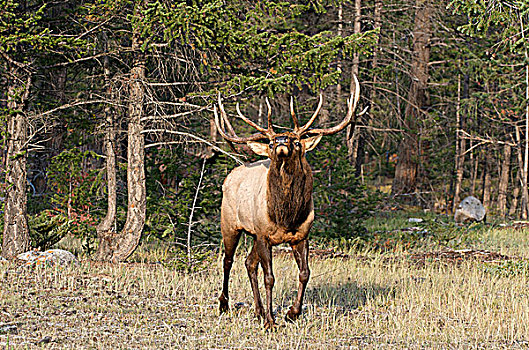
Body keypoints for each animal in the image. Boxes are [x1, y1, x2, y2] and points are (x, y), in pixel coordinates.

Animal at [213, 76, 358, 328]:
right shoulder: (264, 235)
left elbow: (305, 273)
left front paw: (292, 313)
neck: (286, 216)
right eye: (271, 143)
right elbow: (269, 278)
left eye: (297, 141)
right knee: (228, 260)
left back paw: (258, 310)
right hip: (230, 224)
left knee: (248, 263)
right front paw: (271, 321)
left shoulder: (300, 235)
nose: (281, 140)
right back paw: (224, 305)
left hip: (252, 234)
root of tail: (232, 174)